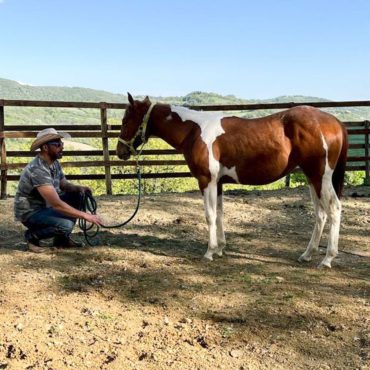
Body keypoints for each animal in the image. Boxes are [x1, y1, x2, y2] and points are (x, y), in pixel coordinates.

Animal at [117, 94, 348, 268]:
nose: (120, 152)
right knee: (320, 214)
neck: (194, 131)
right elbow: (219, 214)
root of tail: (334, 122)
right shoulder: (218, 183)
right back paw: (307, 254)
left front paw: (209, 252)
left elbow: (210, 215)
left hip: (320, 177)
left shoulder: (206, 181)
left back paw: (327, 259)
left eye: (125, 120)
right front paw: (220, 248)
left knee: (334, 209)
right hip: (312, 179)